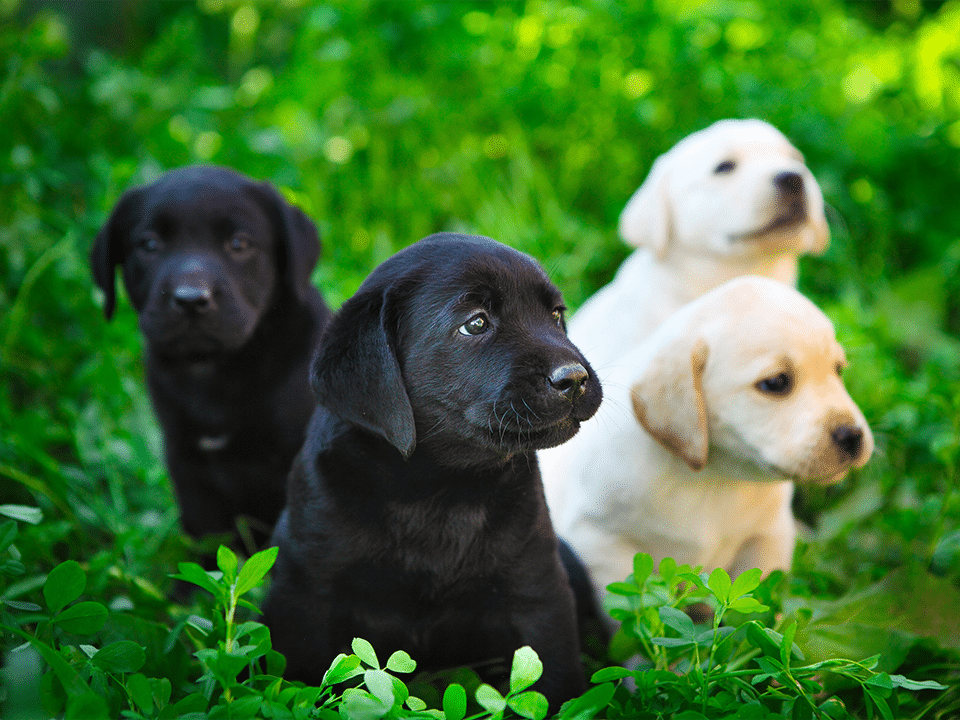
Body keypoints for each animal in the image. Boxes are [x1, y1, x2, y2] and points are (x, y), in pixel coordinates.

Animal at [91, 166, 330, 548]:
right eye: (149, 245)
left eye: (240, 244)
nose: (190, 299)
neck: (215, 368)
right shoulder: (188, 465)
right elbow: (209, 539)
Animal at [262, 233, 600, 704]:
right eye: (475, 324)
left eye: (555, 314)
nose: (574, 378)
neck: (438, 489)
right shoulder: (305, 592)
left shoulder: (537, 590)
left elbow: (554, 679)